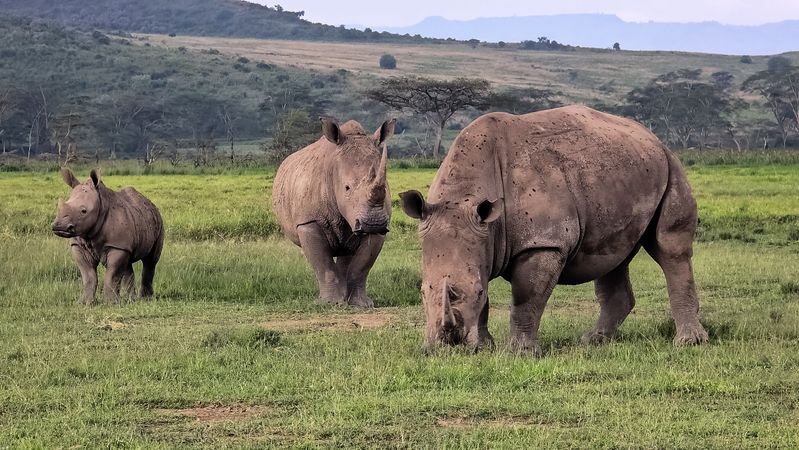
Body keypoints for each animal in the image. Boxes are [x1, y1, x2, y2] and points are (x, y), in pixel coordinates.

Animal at [51, 169, 164, 304]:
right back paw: (131, 300)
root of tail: (150, 203)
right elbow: (88, 275)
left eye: (84, 211)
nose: (59, 226)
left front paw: (111, 303)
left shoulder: (116, 245)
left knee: (150, 261)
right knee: (128, 263)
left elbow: (112, 275)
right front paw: (84, 302)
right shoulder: (79, 245)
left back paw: (145, 299)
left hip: (159, 222)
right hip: (137, 222)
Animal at [272, 117, 395, 307]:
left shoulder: (380, 225)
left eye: (385, 189)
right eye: (347, 188)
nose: (373, 223)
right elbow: (322, 263)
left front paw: (361, 304)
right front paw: (329, 303)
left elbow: (362, 266)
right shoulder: (308, 221)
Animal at [400, 105, 709, 355]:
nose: (447, 344)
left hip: (671, 166)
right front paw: (482, 349)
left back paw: (688, 343)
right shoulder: (479, 237)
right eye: (422, 292)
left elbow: (526, 297)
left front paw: (521, 353)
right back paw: (594, 341)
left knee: (670, 249)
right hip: (620, 172)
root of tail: (651, 136)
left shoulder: (544, 242)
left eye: (476, 292)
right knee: (612, 258)